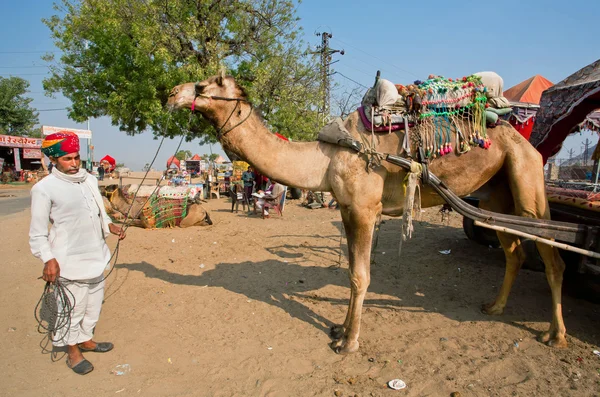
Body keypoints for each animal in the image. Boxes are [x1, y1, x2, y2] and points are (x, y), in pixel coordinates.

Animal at [168, 72, 568, 352]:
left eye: (203, 85)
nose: (171, 93)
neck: (328, 155)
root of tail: (526, 141)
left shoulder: (363, 208)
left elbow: (361, 277)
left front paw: (349, 343)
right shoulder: (347, 208)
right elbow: (351, 273)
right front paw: (340, 330)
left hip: (527, 180)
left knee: (550, 252)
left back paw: (555, 335)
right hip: (495, 195)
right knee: (513, 251)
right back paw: (495, 308)